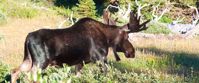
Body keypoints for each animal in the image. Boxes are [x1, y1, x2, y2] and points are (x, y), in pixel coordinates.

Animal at [10, 10, 149, 83]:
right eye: (127, 37)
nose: (132, 52)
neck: (107, 37)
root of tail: (27, 38)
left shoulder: (80, 63)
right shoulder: (100, 59)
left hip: (28, 59)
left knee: (14, 71)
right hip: (41, 62)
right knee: (30, 77)